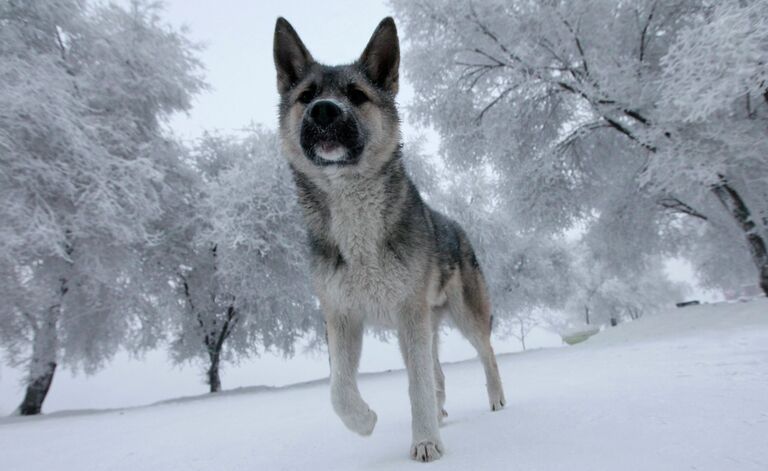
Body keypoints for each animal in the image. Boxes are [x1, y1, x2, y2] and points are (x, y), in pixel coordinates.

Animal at [272, 16, 508, 462]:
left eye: (356, 95)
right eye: (306, 95)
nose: (323, 109)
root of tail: (456, 224)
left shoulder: (408, 313)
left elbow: (417, 386)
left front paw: (426, 442)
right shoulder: (342, 316)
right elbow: (339, 389)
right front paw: (364, 421)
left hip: (465, 315)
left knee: (485, 354)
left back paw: (496, 399)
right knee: (436, 370)